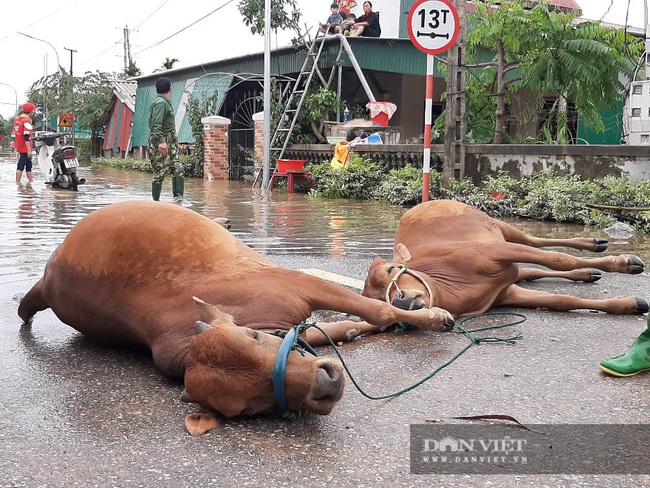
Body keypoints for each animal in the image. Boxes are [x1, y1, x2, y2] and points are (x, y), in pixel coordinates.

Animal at [16, 201, 450, 434]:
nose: (326, 386)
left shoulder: (299, 283)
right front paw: (365, 329)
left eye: (253, 340)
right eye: (251, 409)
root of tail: (46, 281)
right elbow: (342, 326)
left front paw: (429, 316)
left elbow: (375, 308)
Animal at [362, 200, 644, 318]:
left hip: (505, 229)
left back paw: (596, 246)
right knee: (530, 272)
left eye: (391, 269)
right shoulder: (507, 293)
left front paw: (623, 264)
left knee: (536, 242)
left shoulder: (497, 251)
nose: (400, 300)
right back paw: (586, 274)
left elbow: (558, 259)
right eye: (377, 299)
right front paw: (630, 305)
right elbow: (563, 300)